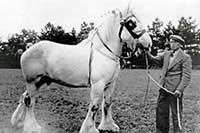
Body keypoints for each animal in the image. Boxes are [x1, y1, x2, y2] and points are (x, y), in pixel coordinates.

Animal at [10, 4, 152, 133]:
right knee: (29, 101)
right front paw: (90, 129)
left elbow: (107, 104)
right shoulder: (98, 85)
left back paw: (18, 122)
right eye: (131, 23)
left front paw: (108, 126)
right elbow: (94, 106)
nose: (148, 43)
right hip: (33, 82)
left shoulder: (110, 84)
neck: (103, 52)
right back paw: (32, 127)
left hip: (40, 81)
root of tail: (28, 48)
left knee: (24, 97)